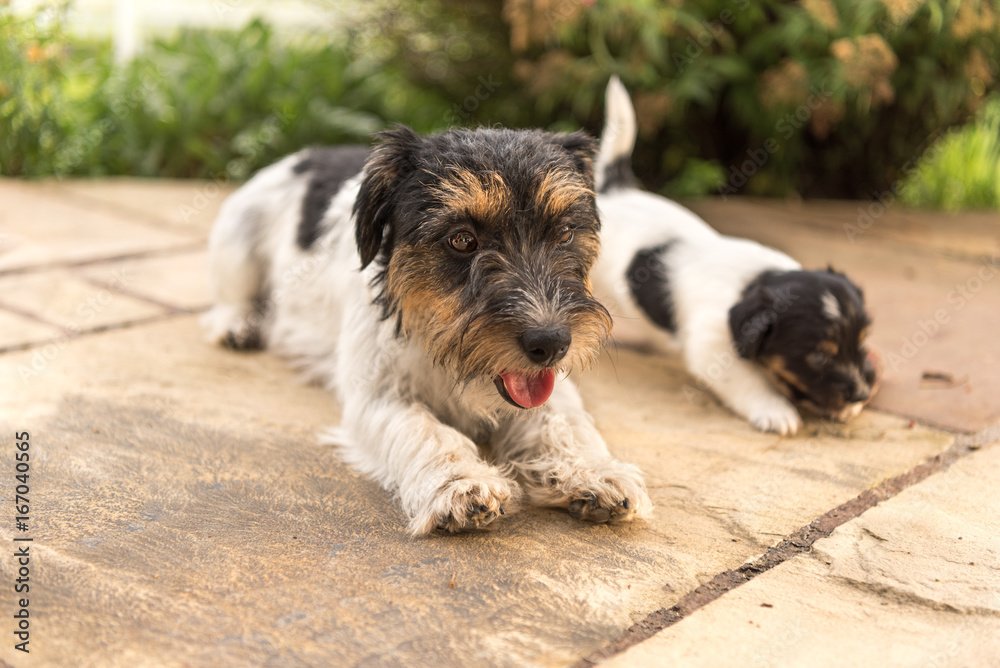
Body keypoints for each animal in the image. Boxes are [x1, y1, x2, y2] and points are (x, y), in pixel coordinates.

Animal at [206, 124, 652, 532]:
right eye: (462, 240)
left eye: (564, 232)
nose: (552, 343)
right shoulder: (378, 396)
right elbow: (428, 432)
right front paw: (462, 482)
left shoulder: (550, 389)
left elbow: (563, 424)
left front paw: (595, 470)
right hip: (236, 244)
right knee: (230, 299)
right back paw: (237, 325)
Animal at [592, 78, 876, 436]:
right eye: (819, 358)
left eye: (863, 343)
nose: (862, 393)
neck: (755, 279)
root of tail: (615, 191)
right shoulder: (712, 343)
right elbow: (748, 381)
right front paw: (774, 410)